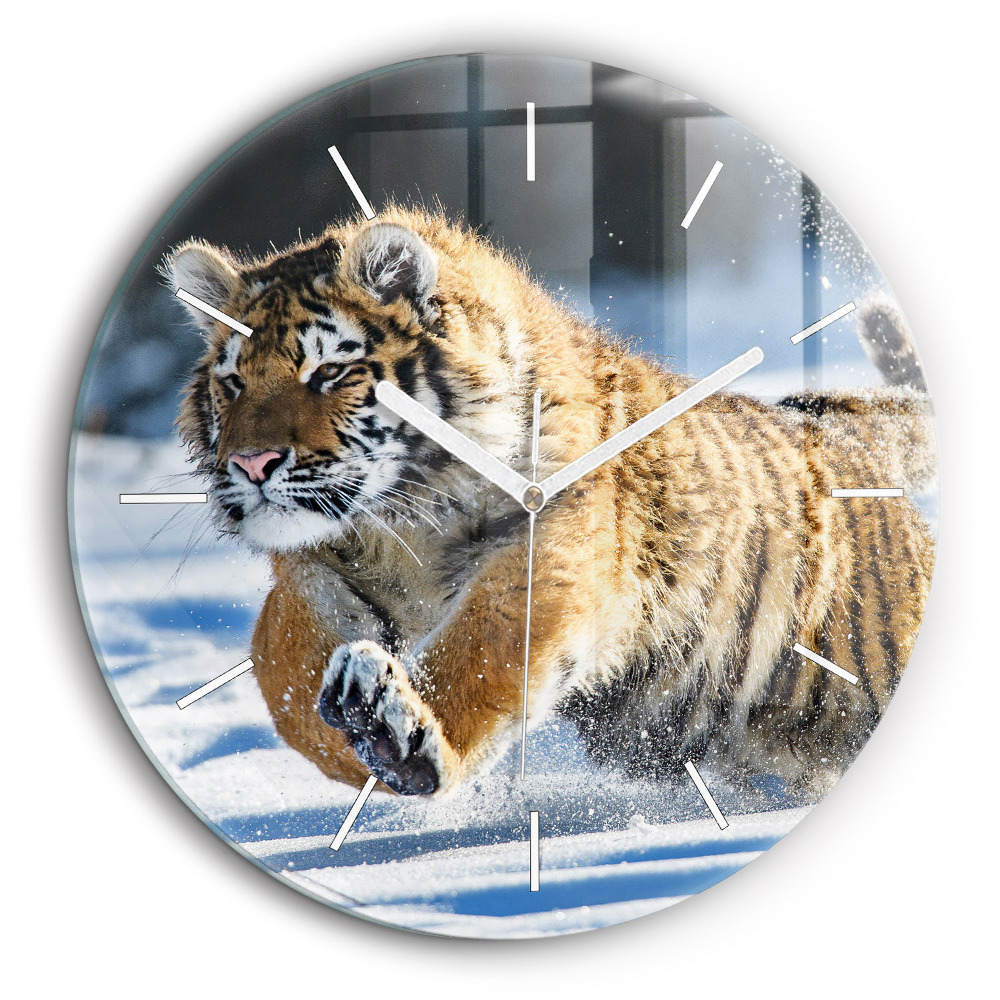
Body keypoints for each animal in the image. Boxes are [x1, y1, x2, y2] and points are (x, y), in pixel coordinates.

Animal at [166, 205, 935, 801]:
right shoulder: (311, 572)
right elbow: (284, 677)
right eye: (234, 383)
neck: (399, 521)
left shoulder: (553, 550)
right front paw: (357, 735)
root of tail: (839, 420)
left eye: (330, 372)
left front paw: (400, 738)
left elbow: (482, 648)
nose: (252, 463)